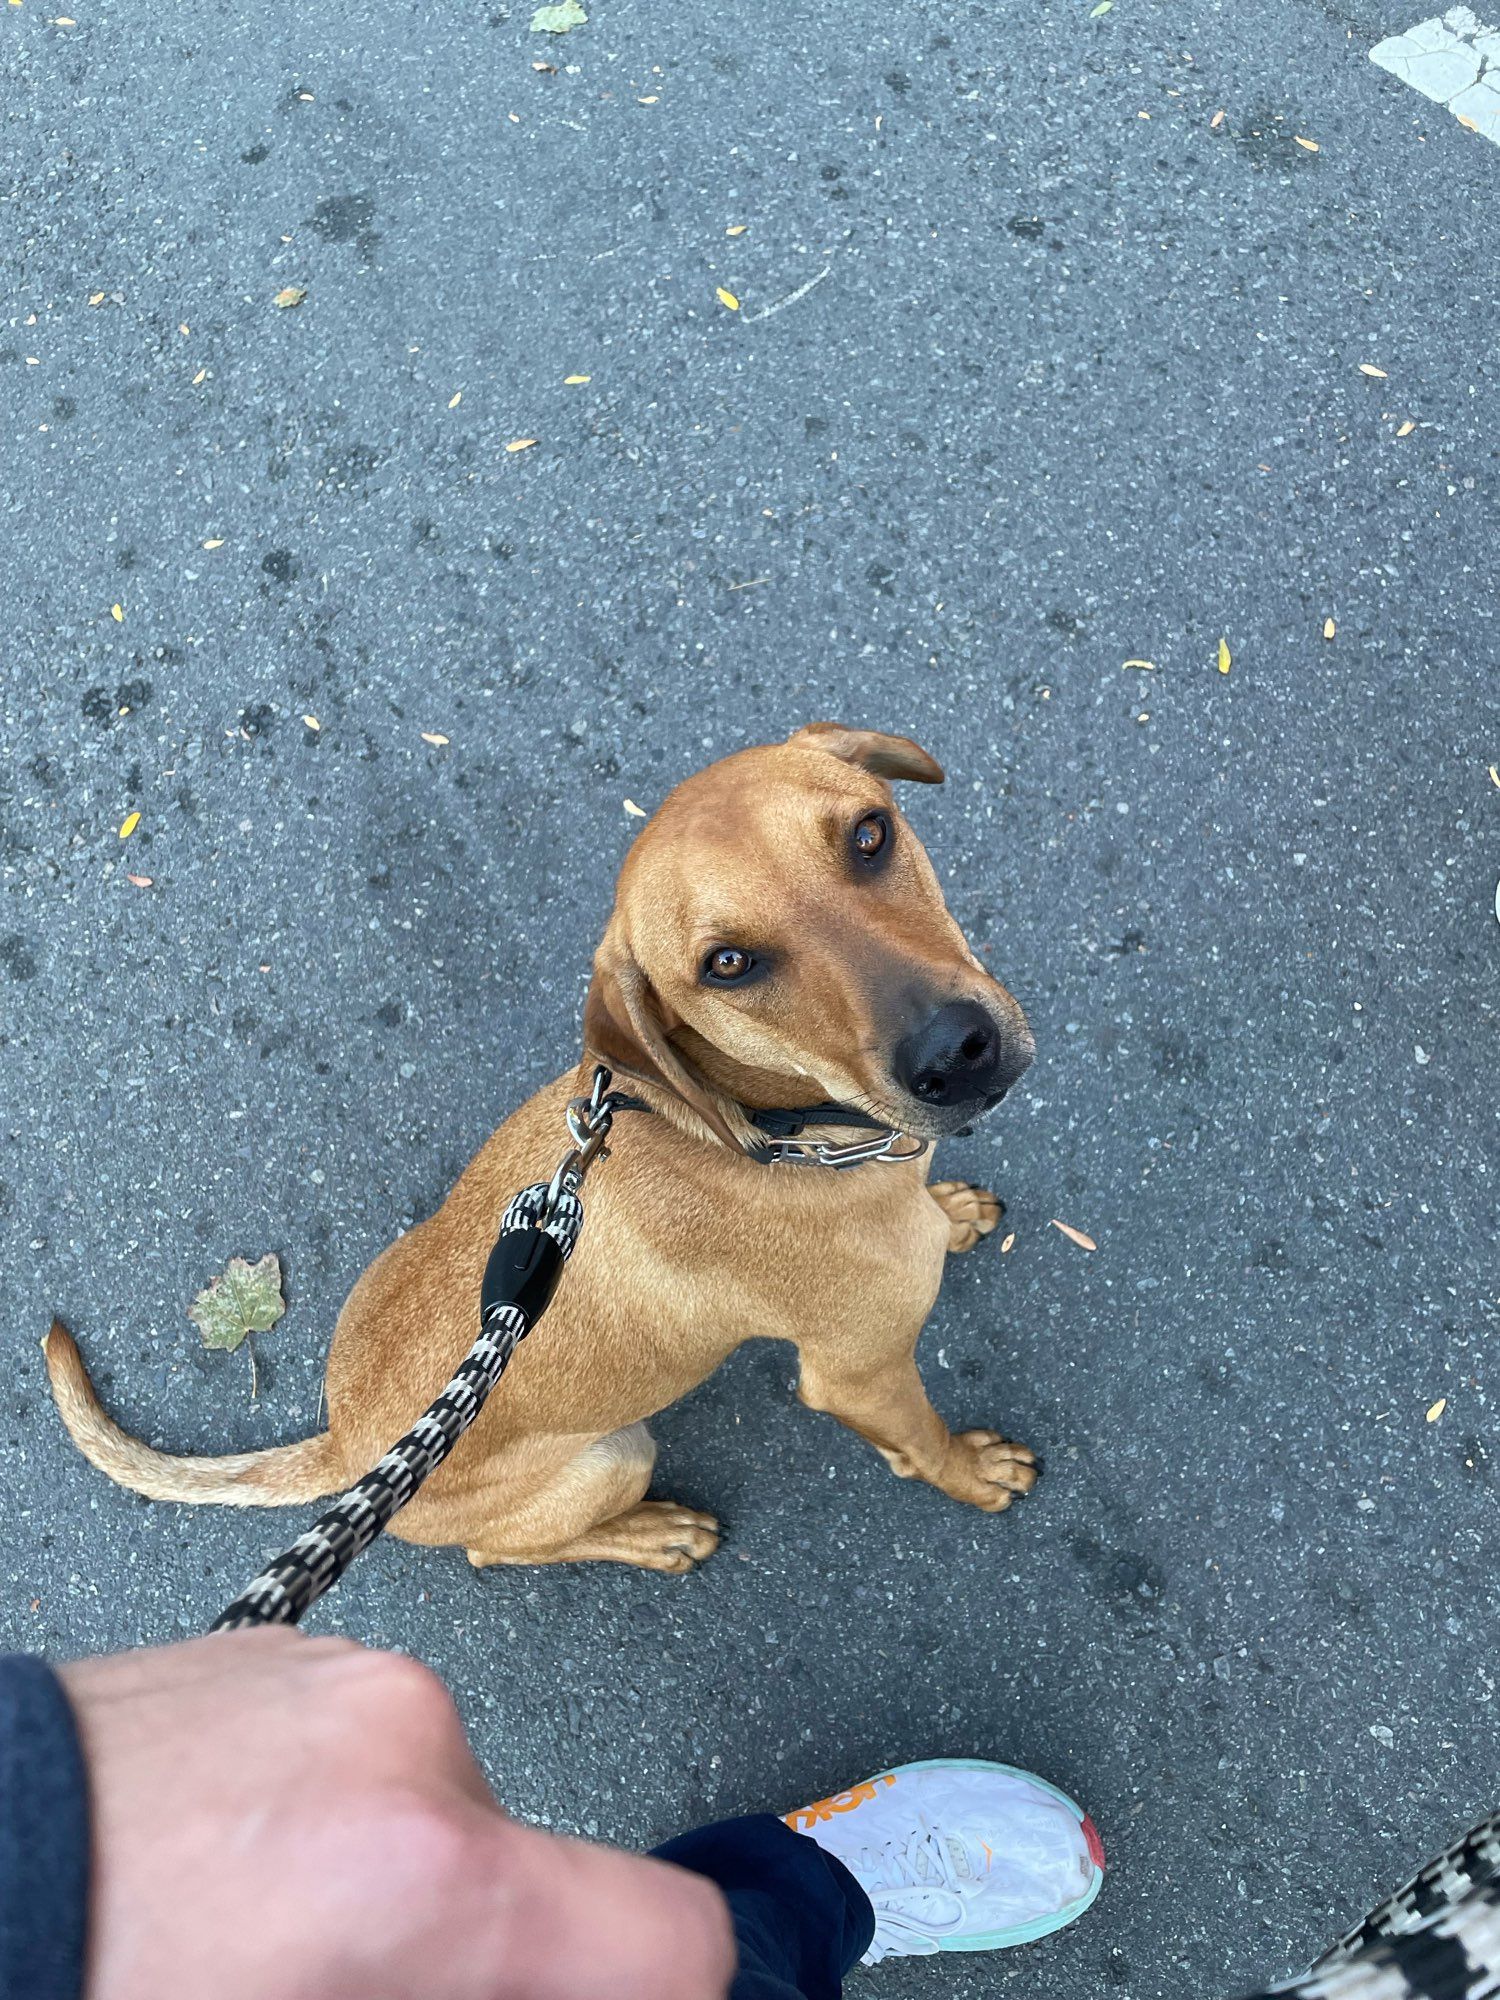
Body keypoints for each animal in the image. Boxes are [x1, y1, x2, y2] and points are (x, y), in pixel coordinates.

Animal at [41, 728, 1040, 1568]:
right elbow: (922, 1442)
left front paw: (952, 1209)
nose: (956, 1050)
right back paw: (653, 1537)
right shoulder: (862, 1376)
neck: (779, 1136)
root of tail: (349, 1450)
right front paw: (970, 1474)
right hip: (615, 1457)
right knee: (500, 1554)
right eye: (728, 964)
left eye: (870, 836)